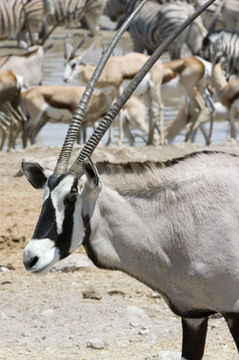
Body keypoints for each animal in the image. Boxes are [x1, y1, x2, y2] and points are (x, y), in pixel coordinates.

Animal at [22, 1, 239, 358]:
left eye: (71, 197)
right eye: (44, 197)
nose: (31, 257)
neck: (173, 223)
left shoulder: (233, 310)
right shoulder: (194, 314)